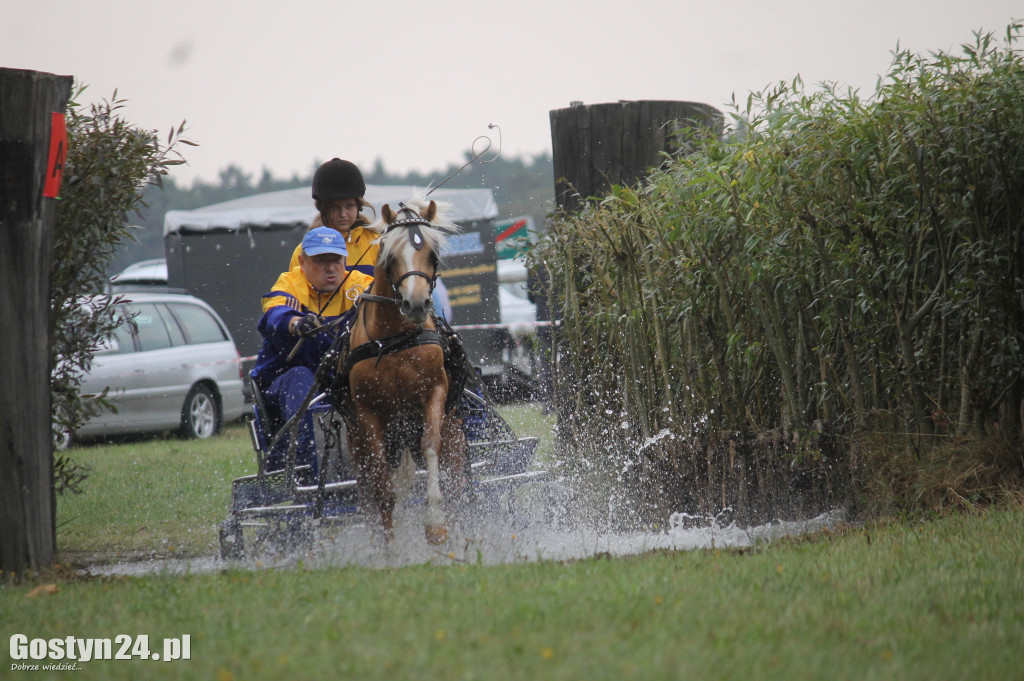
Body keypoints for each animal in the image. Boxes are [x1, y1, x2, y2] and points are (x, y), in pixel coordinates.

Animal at [348, 195, 468, 540]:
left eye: (433, 254)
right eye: (390, 255)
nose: (416, 304)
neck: (396, 339)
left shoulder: (435, 392)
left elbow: (430, 445)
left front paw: (435, 522)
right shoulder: (368, 414)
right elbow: (384, 494)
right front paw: (392, 547)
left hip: (453, 434)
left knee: (455, 485)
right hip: (358, 443)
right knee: (369, 495)